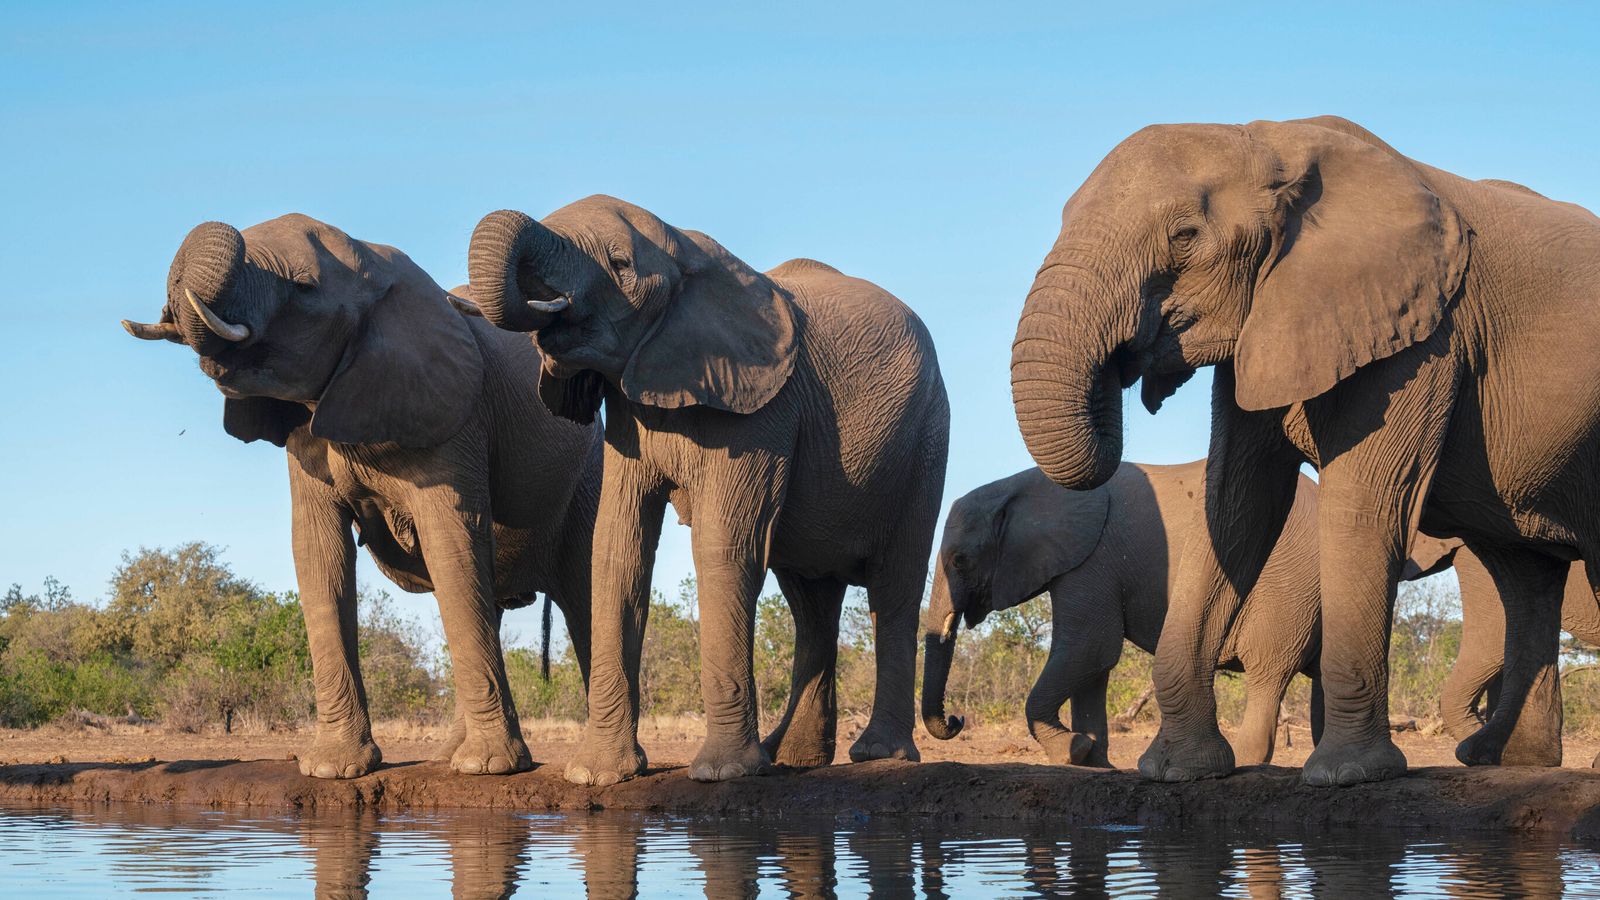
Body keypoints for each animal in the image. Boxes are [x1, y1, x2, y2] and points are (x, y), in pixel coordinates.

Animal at [122, 215, 602, 777]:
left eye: (303, 287)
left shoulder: (454, 419)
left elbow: (451, 543)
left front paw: (489, 769)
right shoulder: (307, 435)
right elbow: (318, 553)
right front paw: (333, 769)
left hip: (590, 471)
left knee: (583, 594)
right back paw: (446, 757)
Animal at [460, 195, 949, 784]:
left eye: (620, 264)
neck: (684, 248)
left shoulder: (761, 411)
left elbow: (724, 547)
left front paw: (722, 774)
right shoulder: (629, 416)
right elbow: (617, 549)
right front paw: (596, 775)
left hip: (926, 440)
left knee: (893, 587)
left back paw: (877, 755)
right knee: (811, 602)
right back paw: (791, 757)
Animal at [1009, 114, 1600, 784]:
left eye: (1185, 236)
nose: (1127, 364)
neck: (1271, 141)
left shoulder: (1423, 335)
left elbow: (1366, 503)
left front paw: (1347, 775)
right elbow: (1236, 505)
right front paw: (1176, 770)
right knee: (1522, 575)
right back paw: (1507, 760)